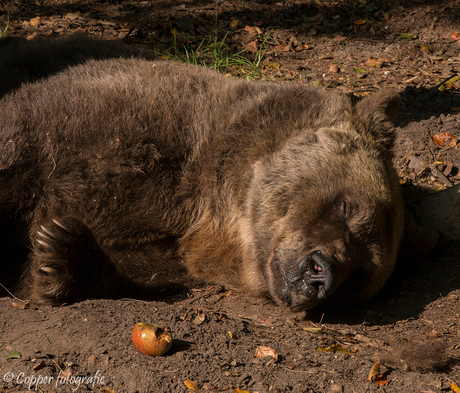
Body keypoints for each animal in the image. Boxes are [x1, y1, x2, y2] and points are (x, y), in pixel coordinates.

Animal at [0, 46, 402, 310]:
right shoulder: (111, 121)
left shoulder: (172, 246)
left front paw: (64, 253)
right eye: (346, 206)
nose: (322, 275)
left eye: (359, 275)